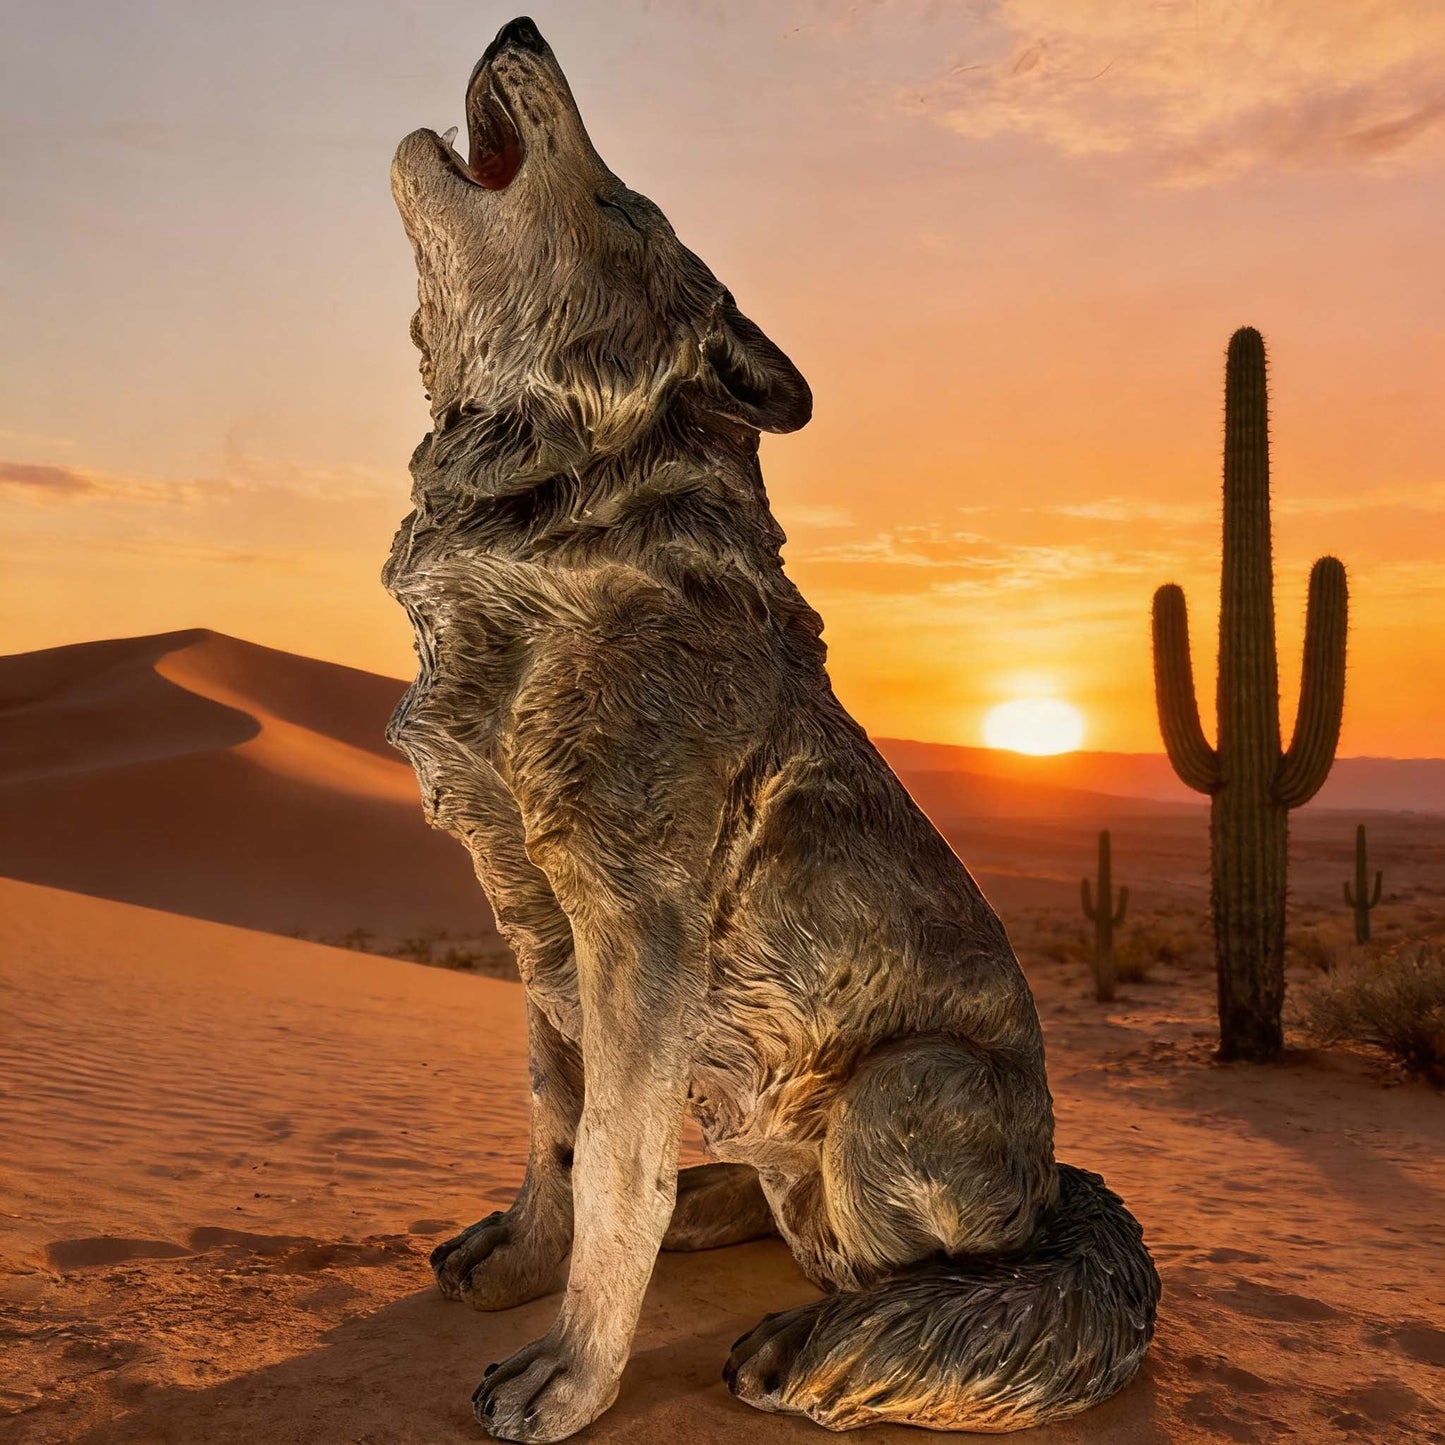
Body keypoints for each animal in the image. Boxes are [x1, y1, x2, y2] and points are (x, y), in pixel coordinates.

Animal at [386, 16, 1159, 1443]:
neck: (554, 515)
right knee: (767, 1183)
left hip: (902, 1092)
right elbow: (555, 1121)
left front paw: (569, 1374)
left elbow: (614, 1166)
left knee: (926, 1267)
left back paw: (819, 1332)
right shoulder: (533, 918)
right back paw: (718, 1205)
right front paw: (524, 1256)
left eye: (620, 206)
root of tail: (1057, 1185)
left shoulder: (635, 926)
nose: (521, 28)